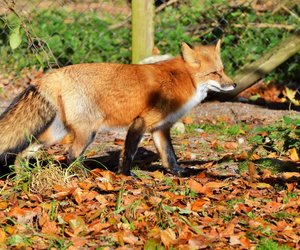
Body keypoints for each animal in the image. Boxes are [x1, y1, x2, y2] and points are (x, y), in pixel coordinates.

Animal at [0, 41, 234, 176]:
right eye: (215, 73)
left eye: (223, 70)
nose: (233, 85)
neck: (183, 79)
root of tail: (53, 74)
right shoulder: (141, 122)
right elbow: (128, 153)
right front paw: (126, 175)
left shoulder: (160, 128)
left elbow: (170, 156)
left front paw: (179, 173)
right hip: (88, 132)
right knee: (70, 155)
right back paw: (83, 175)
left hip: (57, 133)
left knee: (24, 151)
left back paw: (21, 175)